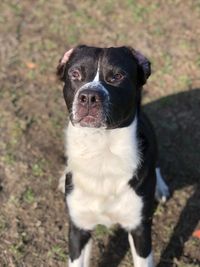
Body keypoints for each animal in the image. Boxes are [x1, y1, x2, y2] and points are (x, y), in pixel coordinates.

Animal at [57, 46, 170, 267]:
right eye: (75, 74)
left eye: (117, 76)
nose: (89, 97)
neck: (101, 152)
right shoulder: (78, 228)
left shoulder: (140, 228)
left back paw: (159, 188)